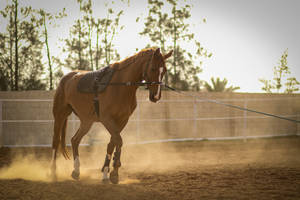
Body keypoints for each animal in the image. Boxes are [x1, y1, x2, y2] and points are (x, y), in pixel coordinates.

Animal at [50, 47, 172, 184]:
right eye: (153, 68)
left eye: (164, 70)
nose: (156, 96)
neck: (120, 85)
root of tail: (66, 78)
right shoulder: (107, 119)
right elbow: (118, 141)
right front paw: (113, 173)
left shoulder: (122, 120)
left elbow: (112, 143)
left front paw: (107, 173)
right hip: (60, 115)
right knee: (56, 141)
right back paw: (53, 173)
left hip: (86, 121)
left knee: (75, 140)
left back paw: (76, 171)